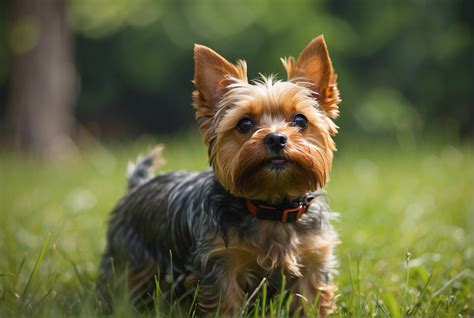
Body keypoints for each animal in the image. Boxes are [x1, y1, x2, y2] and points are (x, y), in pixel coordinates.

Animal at [97, 35, 340, 316]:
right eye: (245, 124)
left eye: (300, 120)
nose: (276, 138)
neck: (271, 208)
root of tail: (139, 185)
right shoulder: (221, 263)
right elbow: (226, 302)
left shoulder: (313, 258)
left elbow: (310, 301)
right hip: (130, 259)